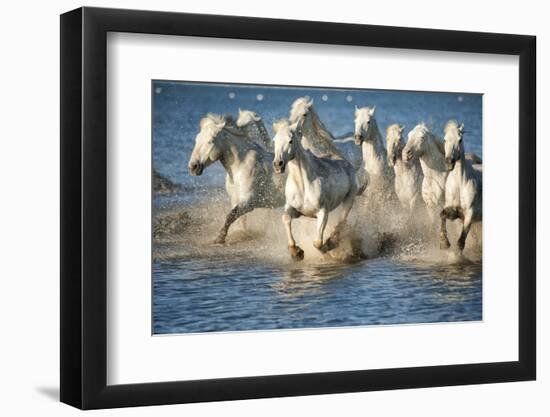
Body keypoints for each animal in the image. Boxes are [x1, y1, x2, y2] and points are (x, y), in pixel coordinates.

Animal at [189, 114, 284, 244]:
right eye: (197, 139)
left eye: (211, 140)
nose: (193, 166)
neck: (240, 167)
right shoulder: (235, 200)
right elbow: (239, 220)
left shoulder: (248, 202)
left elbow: (230, 216)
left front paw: (220, 238)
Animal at [272, 118, 360, 260]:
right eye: (274, 141)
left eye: (290, 140)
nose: (278, 165)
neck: (303, 186)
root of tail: (346, 163)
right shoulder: (295, 210)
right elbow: (285, 218)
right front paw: (296, 252)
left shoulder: (323, 211)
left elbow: (318, 242)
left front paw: (325, 247)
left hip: (349, 199)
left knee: (341, 221)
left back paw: (332, 243)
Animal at [440, 119, 484, 250]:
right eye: (444, 139)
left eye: (460, 139)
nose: (449, 161)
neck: (459, 185)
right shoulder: (453, 212)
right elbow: (442, 214)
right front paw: (444, 243)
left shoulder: (469, 214)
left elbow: (460, 242)